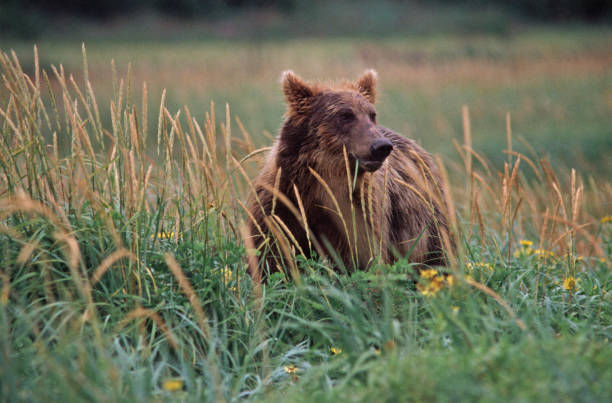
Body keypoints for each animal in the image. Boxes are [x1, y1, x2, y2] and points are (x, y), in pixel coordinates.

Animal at [246, 69, 452, 282]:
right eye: (345, 115)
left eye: (372, 114)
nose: (381, 146)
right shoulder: (281, 205)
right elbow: (271, 255)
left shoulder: (359, 214)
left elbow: (358, 258)